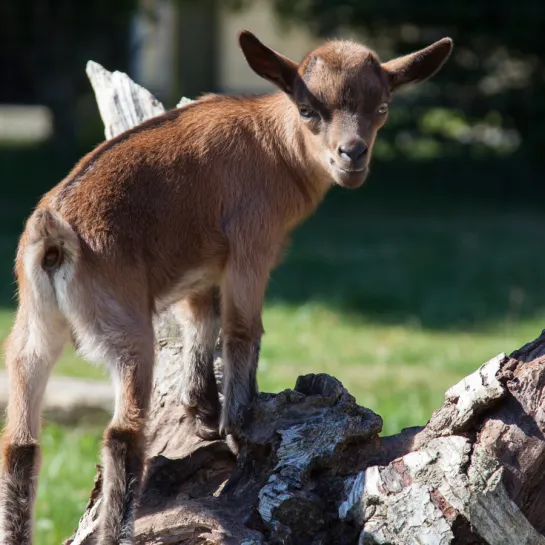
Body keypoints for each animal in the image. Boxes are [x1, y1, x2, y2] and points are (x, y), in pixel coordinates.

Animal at [0, 30, 450, 544]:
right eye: (307, 108)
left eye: (383, 106)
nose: (352, 156)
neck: (276, 148)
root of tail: (54, 235)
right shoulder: (252, 245)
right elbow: (241, 329)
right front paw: (242, 423)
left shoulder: (203, 269)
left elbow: (202, 322)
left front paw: (203, 414)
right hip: (124, 326)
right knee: (122, 433)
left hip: (34, 327)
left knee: (20, 441)